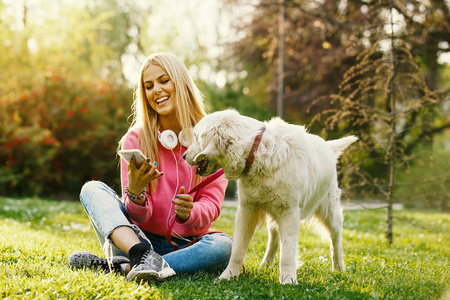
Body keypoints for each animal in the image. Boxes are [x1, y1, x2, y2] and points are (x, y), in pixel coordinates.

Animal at [182, 109, 356, 284]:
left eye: (196, 136)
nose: (183, 156)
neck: (258, 153)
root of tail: (327, 145)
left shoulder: (289, 212)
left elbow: (287, 252)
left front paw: (288, 281)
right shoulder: (247, 209)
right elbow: (237, 249)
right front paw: (228, 276)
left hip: (330, 213)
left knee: (335, 240)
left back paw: (339, 268)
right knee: (274, 239)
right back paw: (265, 265)